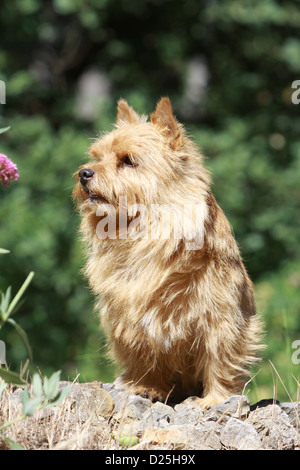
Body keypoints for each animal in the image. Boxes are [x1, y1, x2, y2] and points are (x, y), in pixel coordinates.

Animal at [74, 98, 264, 408]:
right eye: (97, 156)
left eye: (128, 160)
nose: (84, 173)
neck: (141, 233)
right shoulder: (127, 317)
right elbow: (143, 354)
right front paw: (146, 387)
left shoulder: (221, 316)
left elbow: (220, 356)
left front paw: (213, 399)